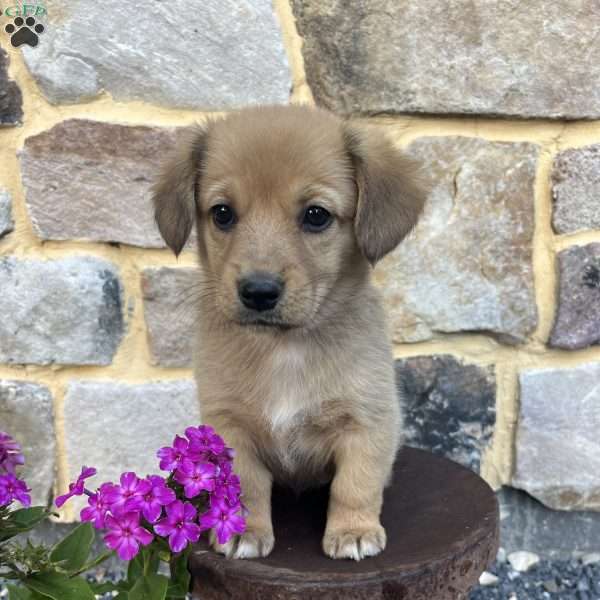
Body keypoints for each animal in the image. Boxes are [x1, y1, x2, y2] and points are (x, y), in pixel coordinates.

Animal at [152, 105, 424, 560]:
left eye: (316, 215)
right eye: (222, 213)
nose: (258, 292)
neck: (284, 346)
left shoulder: (367, 421)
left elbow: (356, 484)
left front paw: (353, 531)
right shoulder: (229, 427)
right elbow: (245, 487)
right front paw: (242, 529)